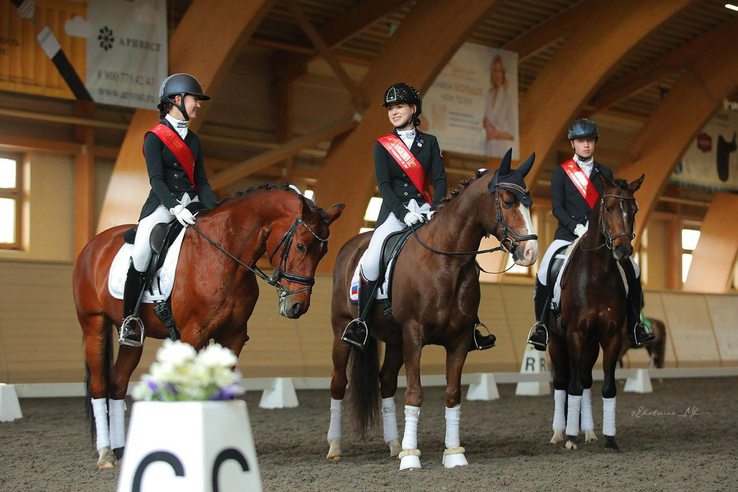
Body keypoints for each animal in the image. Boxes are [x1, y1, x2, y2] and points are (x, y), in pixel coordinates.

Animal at [73, 183, 344, 468]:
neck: (225, 255)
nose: (297, 307)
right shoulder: (193, 336)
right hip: (94, 325)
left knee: (117, 382)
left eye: (323, 252)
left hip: (134, 337)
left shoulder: (232, 336)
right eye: (301, 246)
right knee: (100, 385)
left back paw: (121, 450)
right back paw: (105, 454)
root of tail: (93, 244)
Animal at [324, 152, 536, 470]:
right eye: (509, 201)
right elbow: (414, 393)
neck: (446, 262)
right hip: (343, 331)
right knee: (339, 383)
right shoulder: (414, 334)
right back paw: (336, 447)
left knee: (386, 382)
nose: (531, 253)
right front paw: (412, 457)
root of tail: (351, 245)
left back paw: (394, 445)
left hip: (394, 341)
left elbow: (452, 394)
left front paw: (454, 453)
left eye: (530, 203)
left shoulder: (459, 339)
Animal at [548, 174, 644, 454]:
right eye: (609, 208)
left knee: (586, 380)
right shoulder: (575, 334)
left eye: (634, 210)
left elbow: (607, 387)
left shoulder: (612, 337)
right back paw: (559, 433)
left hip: (591, 343)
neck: (598, 273)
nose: (623, 250)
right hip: (557, 340)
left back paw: (589, 431)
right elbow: (573, 385)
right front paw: (570, 438)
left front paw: (610, 439)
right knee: (562, 381)